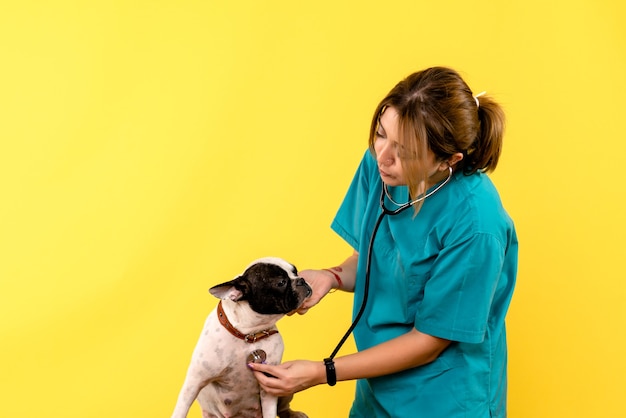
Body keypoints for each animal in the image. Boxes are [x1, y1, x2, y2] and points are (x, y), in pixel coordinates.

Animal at [171, 258, 310, 418]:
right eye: (281, 282)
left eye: (296, 272)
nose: (302, 280)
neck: (249, 334)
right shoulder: (194, 382)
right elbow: (181, 408)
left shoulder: (270, 385)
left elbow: (270, 411)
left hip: (285, 391)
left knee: (282, 408)